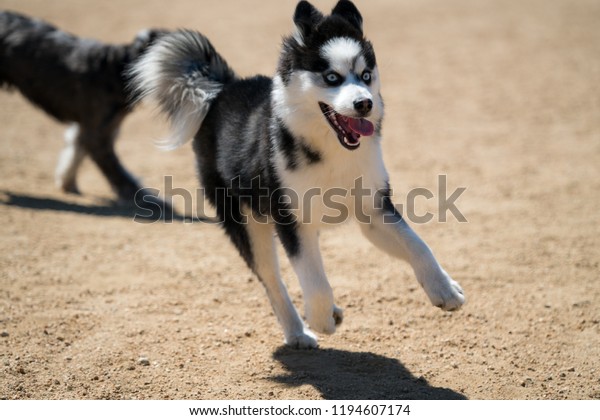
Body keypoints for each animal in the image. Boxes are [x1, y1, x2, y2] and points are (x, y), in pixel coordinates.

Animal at [0, 10, 166, 204]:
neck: (116, 70)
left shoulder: (94, 129)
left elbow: (74, 154)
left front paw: (67, 183)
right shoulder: (97, 136)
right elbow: (119, 174)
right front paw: (148, 200)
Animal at [131, 0, 464, 348]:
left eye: (365, 75)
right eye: (331, 77)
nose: (364, 103)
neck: (331, 152)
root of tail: (224, 88)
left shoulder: (373, 211)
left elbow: (418, 244)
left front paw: (444, 289)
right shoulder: (291, 222)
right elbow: (315, 284)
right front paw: (322, 320)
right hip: (247, 226)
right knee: (273, 281)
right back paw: (298, 331)